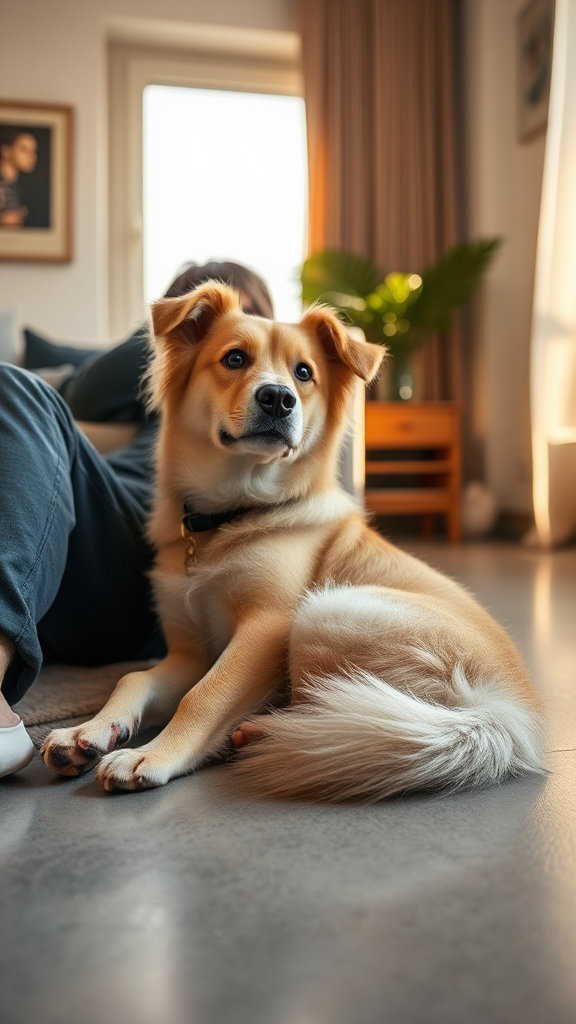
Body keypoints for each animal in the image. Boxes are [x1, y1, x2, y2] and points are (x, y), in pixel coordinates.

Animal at [40, 282, 541, 798]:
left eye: (304, 373)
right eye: (234, 358)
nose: (279, 398)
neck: (230, 516)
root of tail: (506, 712)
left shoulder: (266, 626)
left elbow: (204, 696)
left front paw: (152, 754)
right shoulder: (191, 652)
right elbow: (133, 678)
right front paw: (89, 730)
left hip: (326, 610)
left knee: (348, 709)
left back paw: (265, 733)